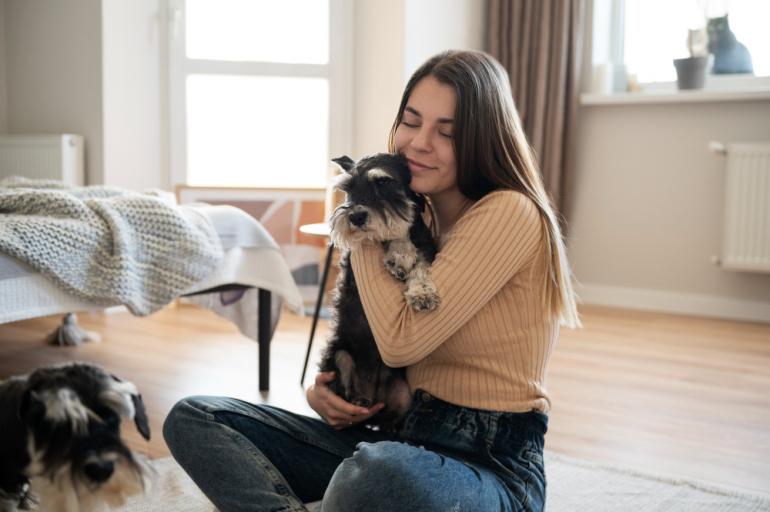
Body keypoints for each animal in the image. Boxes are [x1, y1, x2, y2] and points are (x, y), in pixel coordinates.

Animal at [318, 153, 438, 428]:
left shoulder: (427, 248)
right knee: (347, 388)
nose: (355, 217)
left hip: (403, 396)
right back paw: (358, 400)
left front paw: (421, 292)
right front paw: (399, 255)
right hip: (340, 355)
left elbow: (420, 266)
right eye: (348, 188)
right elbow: (388, 237)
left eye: (383, 182)